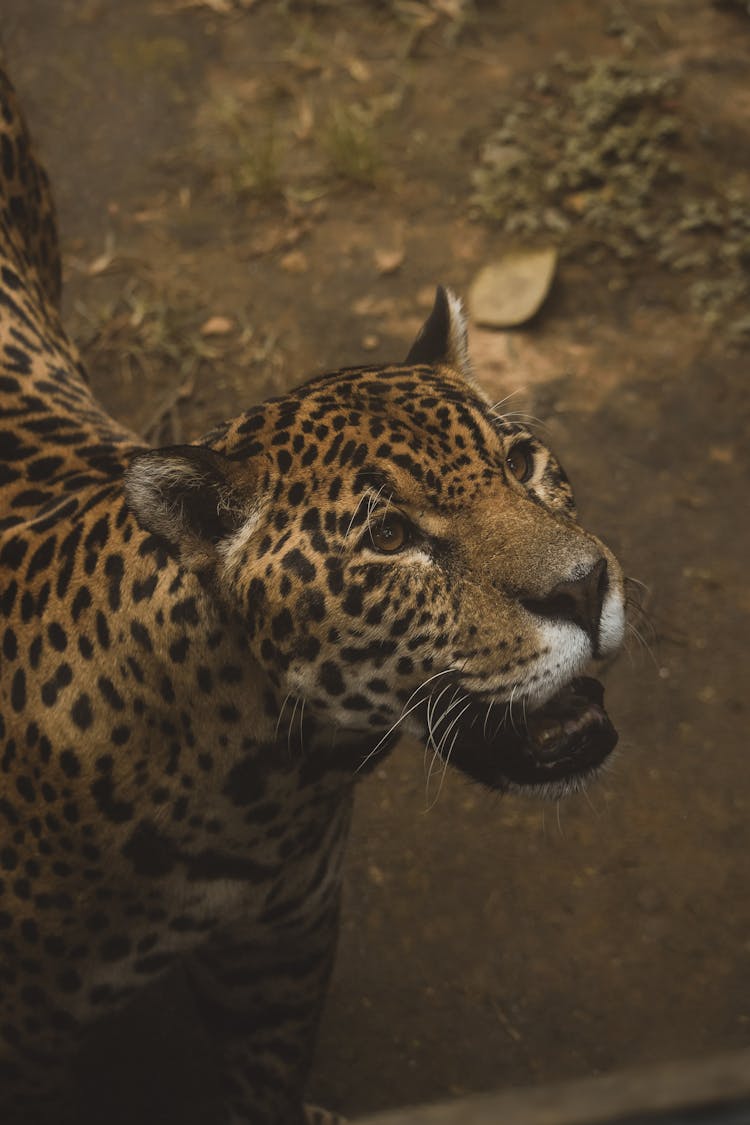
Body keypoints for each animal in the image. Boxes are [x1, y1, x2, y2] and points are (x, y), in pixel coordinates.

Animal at [0, 65, 629, 1120]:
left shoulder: (278, 952)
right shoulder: (30, 1041)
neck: (259, 792)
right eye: (390, 538)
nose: (585, 588)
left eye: (522, 463)